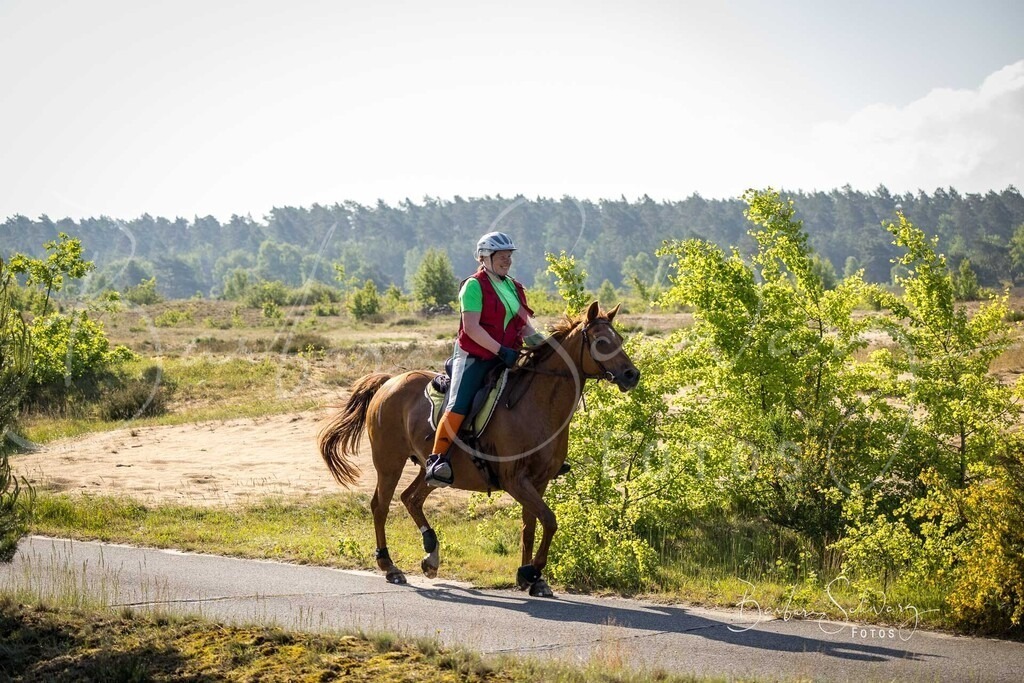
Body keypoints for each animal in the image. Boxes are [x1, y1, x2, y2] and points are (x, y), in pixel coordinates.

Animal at [317, 301, 640, 596]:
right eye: (601, 342)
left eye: (620, 339)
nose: (631, 375)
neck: (537, 406)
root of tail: (388, 382)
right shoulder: (515, 480)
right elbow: (549, 521)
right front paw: (532, 571)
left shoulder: (539, 481)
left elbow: (531, 525)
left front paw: (529, 577)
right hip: (389, 462)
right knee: (380, 505)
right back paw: (389, 566)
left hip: (431, 469)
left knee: (411, 498)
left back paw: (431, 554)